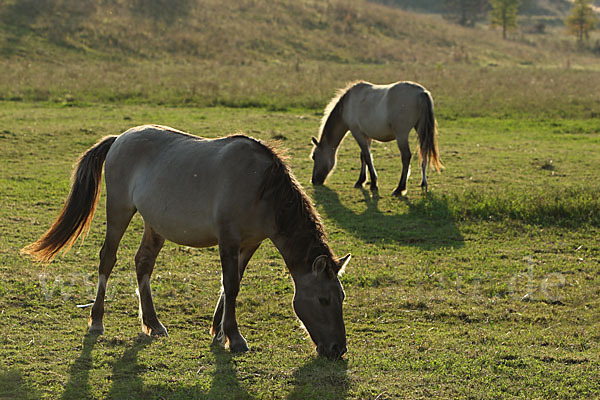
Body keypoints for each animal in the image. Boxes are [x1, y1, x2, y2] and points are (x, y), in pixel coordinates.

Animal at [22, 125, 352, 360]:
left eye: (341, 297)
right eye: (323, 299)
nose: (338, 349)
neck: (262, 187)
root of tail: (119, 139)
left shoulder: (249, 244)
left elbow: (230, 285)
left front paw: (218, 331)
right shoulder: (228, 239)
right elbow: (231, 285)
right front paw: (234, 337)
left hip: (154, 225)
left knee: (143, 263)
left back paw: (153, 323)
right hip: (118, 210)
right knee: (107, 259)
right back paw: (97, 320)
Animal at [312, 80, 442, 197]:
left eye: (314, 156)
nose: (313, 180)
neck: (348, 104)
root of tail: (422, 92)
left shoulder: (357, 132)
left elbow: (367, 157)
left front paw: (373, 183)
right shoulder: (366, 135)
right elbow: (364, 156)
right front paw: (361, 181)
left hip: (402, 135)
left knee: (406, 157)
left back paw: (400, 188)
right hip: (421, 130)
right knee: (424, 153)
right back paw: (423, 183)